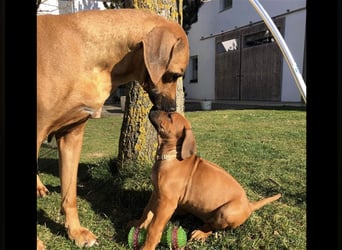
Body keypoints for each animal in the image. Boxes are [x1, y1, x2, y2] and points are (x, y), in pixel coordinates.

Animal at [130, 110, 282, 249]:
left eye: (169, 116)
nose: (153, 108)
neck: (170, 156)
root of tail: (249, 205)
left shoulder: (166, 202)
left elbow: (154, 227)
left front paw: (147, 246)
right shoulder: (157, 193)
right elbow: (147, 210)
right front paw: (138, 224)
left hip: (226, 212)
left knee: (214, 225)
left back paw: (201, 232)